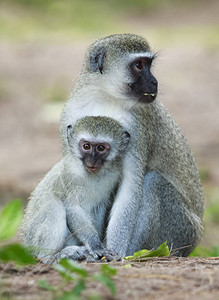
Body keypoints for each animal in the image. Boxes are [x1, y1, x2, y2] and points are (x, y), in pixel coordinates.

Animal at [20, 116, 130, 262]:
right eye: (86, 146)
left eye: (101, 148)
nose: (91, 161)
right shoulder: (69, 175)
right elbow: (71, 207)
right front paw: (95, 245)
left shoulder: (114, 175)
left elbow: (99, 207)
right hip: (32, 239)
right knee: (54, 206)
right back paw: (53, 256)